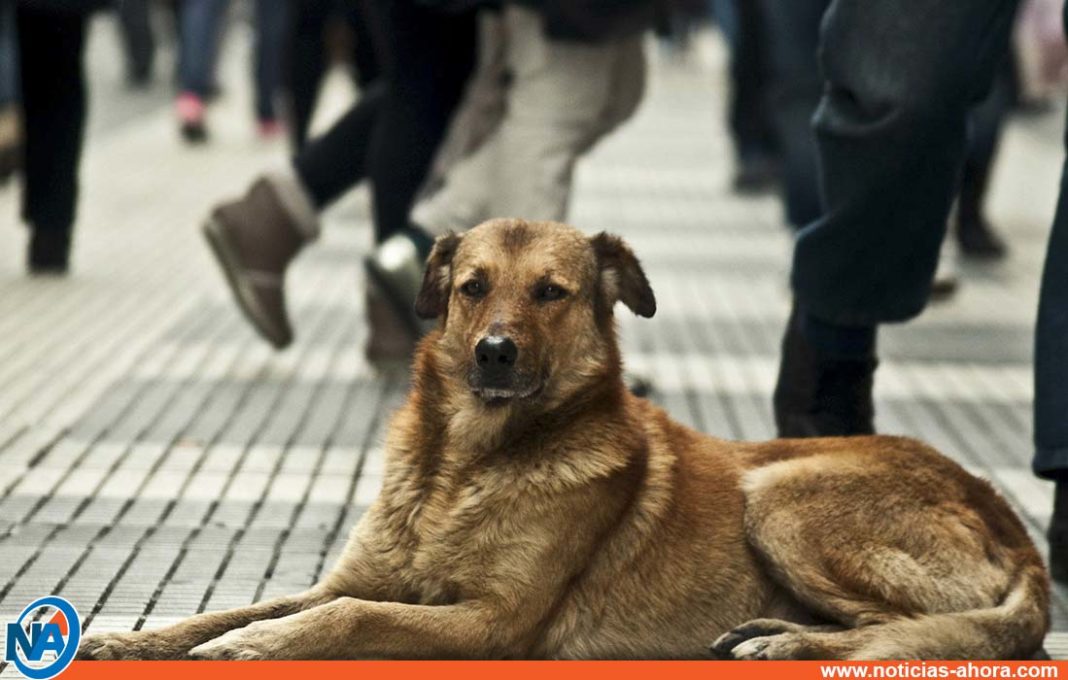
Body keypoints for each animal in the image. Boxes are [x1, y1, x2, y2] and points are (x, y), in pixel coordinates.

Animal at [77, 219, 1050, 661]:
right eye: (472, 285)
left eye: (553, 292)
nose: (495, 352)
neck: (463, 465)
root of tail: (1004, 510)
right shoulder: (349, 576)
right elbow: (247, 605)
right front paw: (135, 640)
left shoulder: (494, 623)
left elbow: (343, 618)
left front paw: (250, 651)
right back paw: (768, 628)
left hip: (780, 495)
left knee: (920, 630)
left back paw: (786, 644)